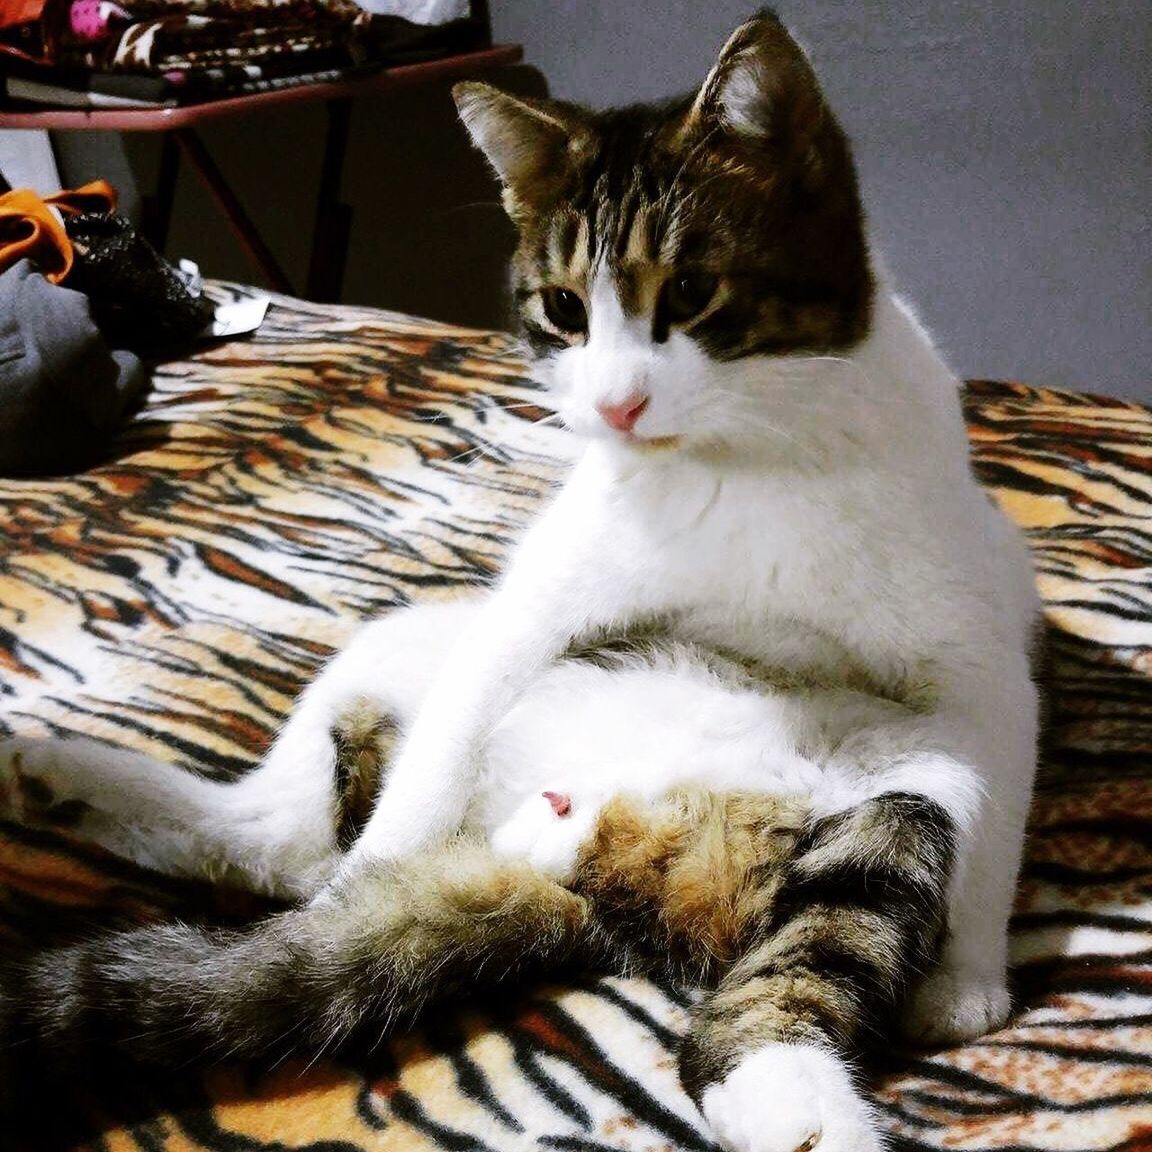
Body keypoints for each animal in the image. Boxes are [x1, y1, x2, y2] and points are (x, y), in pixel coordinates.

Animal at [0, 11, 1041, 1152]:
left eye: (690, 293)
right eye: (563, 310)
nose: (615, 405)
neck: (734, 460)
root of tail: (587, 864)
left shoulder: (982, 664)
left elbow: (1005, 804)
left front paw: (967, 980)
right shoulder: (524, 612)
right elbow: (412, 791)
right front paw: (335, 919)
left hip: (904, 789)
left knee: (794, 975)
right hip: (406, 641)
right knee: (278, 841)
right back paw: (66, 775)